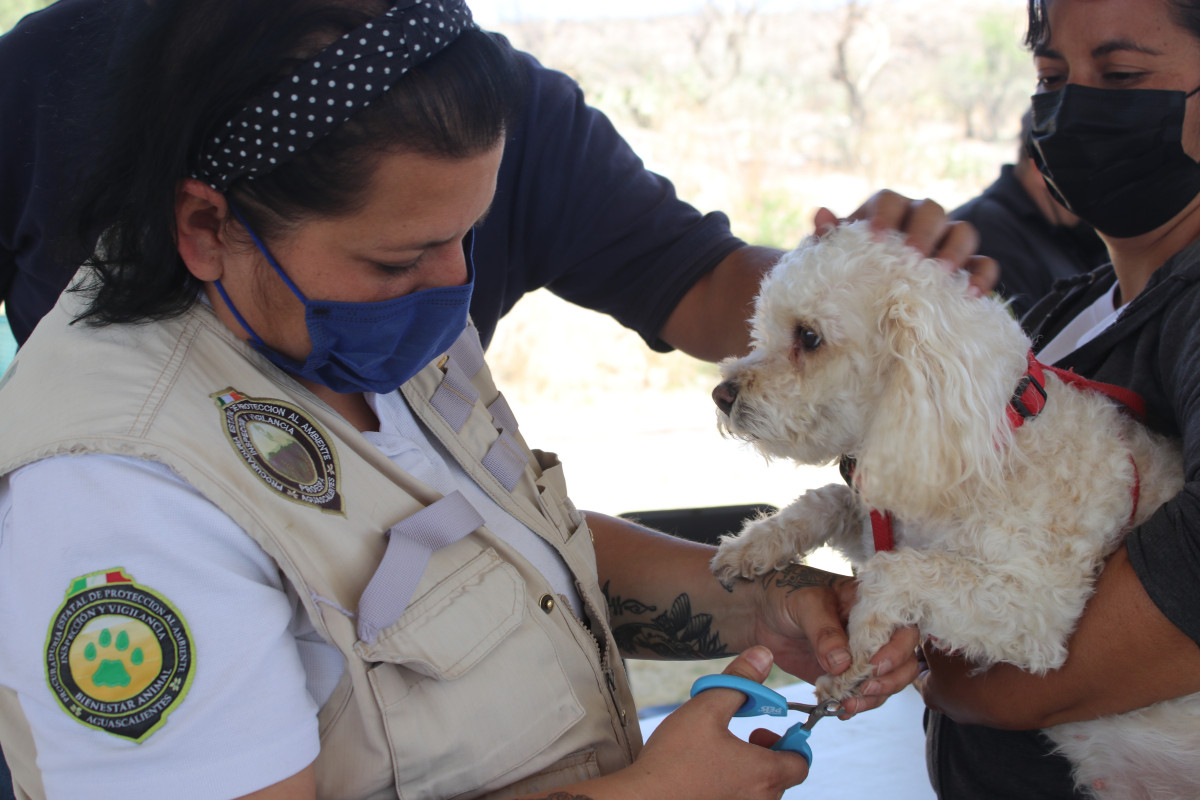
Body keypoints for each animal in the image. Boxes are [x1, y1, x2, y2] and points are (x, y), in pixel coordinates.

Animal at [705, 220, 1195, 800]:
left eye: (808, 337)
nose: (721, 393)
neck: (990, 440)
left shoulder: (1037, 610)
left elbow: (895, 573)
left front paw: (859, 655)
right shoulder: (893, 512)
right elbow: (828, 500)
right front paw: (754, 545)